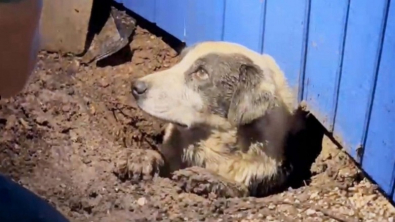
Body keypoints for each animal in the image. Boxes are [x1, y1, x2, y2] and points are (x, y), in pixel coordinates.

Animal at [113, 41, 300, 198]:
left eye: (201, 72)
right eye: (180, 62)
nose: (136, 87)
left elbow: (239, 187)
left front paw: (204, 178)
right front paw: (138, 157)